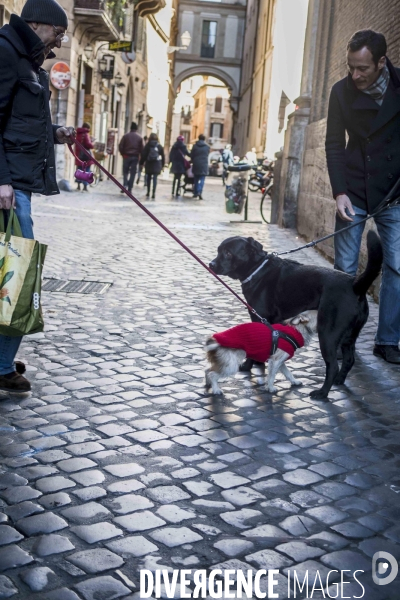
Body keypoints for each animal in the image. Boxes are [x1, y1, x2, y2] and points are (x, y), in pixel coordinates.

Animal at [208, 232, 382, 400]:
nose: (211, 264)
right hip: (349, 336)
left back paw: (322, 393)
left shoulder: (258, 317)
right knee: (349, 359)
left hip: (328, 335)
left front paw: (247, 365)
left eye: (228, 253)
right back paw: (339, 380)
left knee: (333, 365)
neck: (257, 269)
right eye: (218, 250)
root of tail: (355, 284)